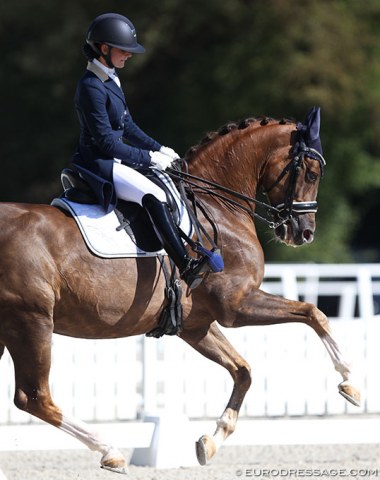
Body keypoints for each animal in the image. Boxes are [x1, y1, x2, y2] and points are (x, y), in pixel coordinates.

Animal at [0, 108, 360, 472]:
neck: (217, 209)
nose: (304, 233)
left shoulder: (195, 324)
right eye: (312, 173)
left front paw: (210, 442)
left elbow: (243, 371)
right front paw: (350, 382)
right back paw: (110, 450)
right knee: (34, 397)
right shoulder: (235, 306)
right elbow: (313, 313)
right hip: (31, 322)